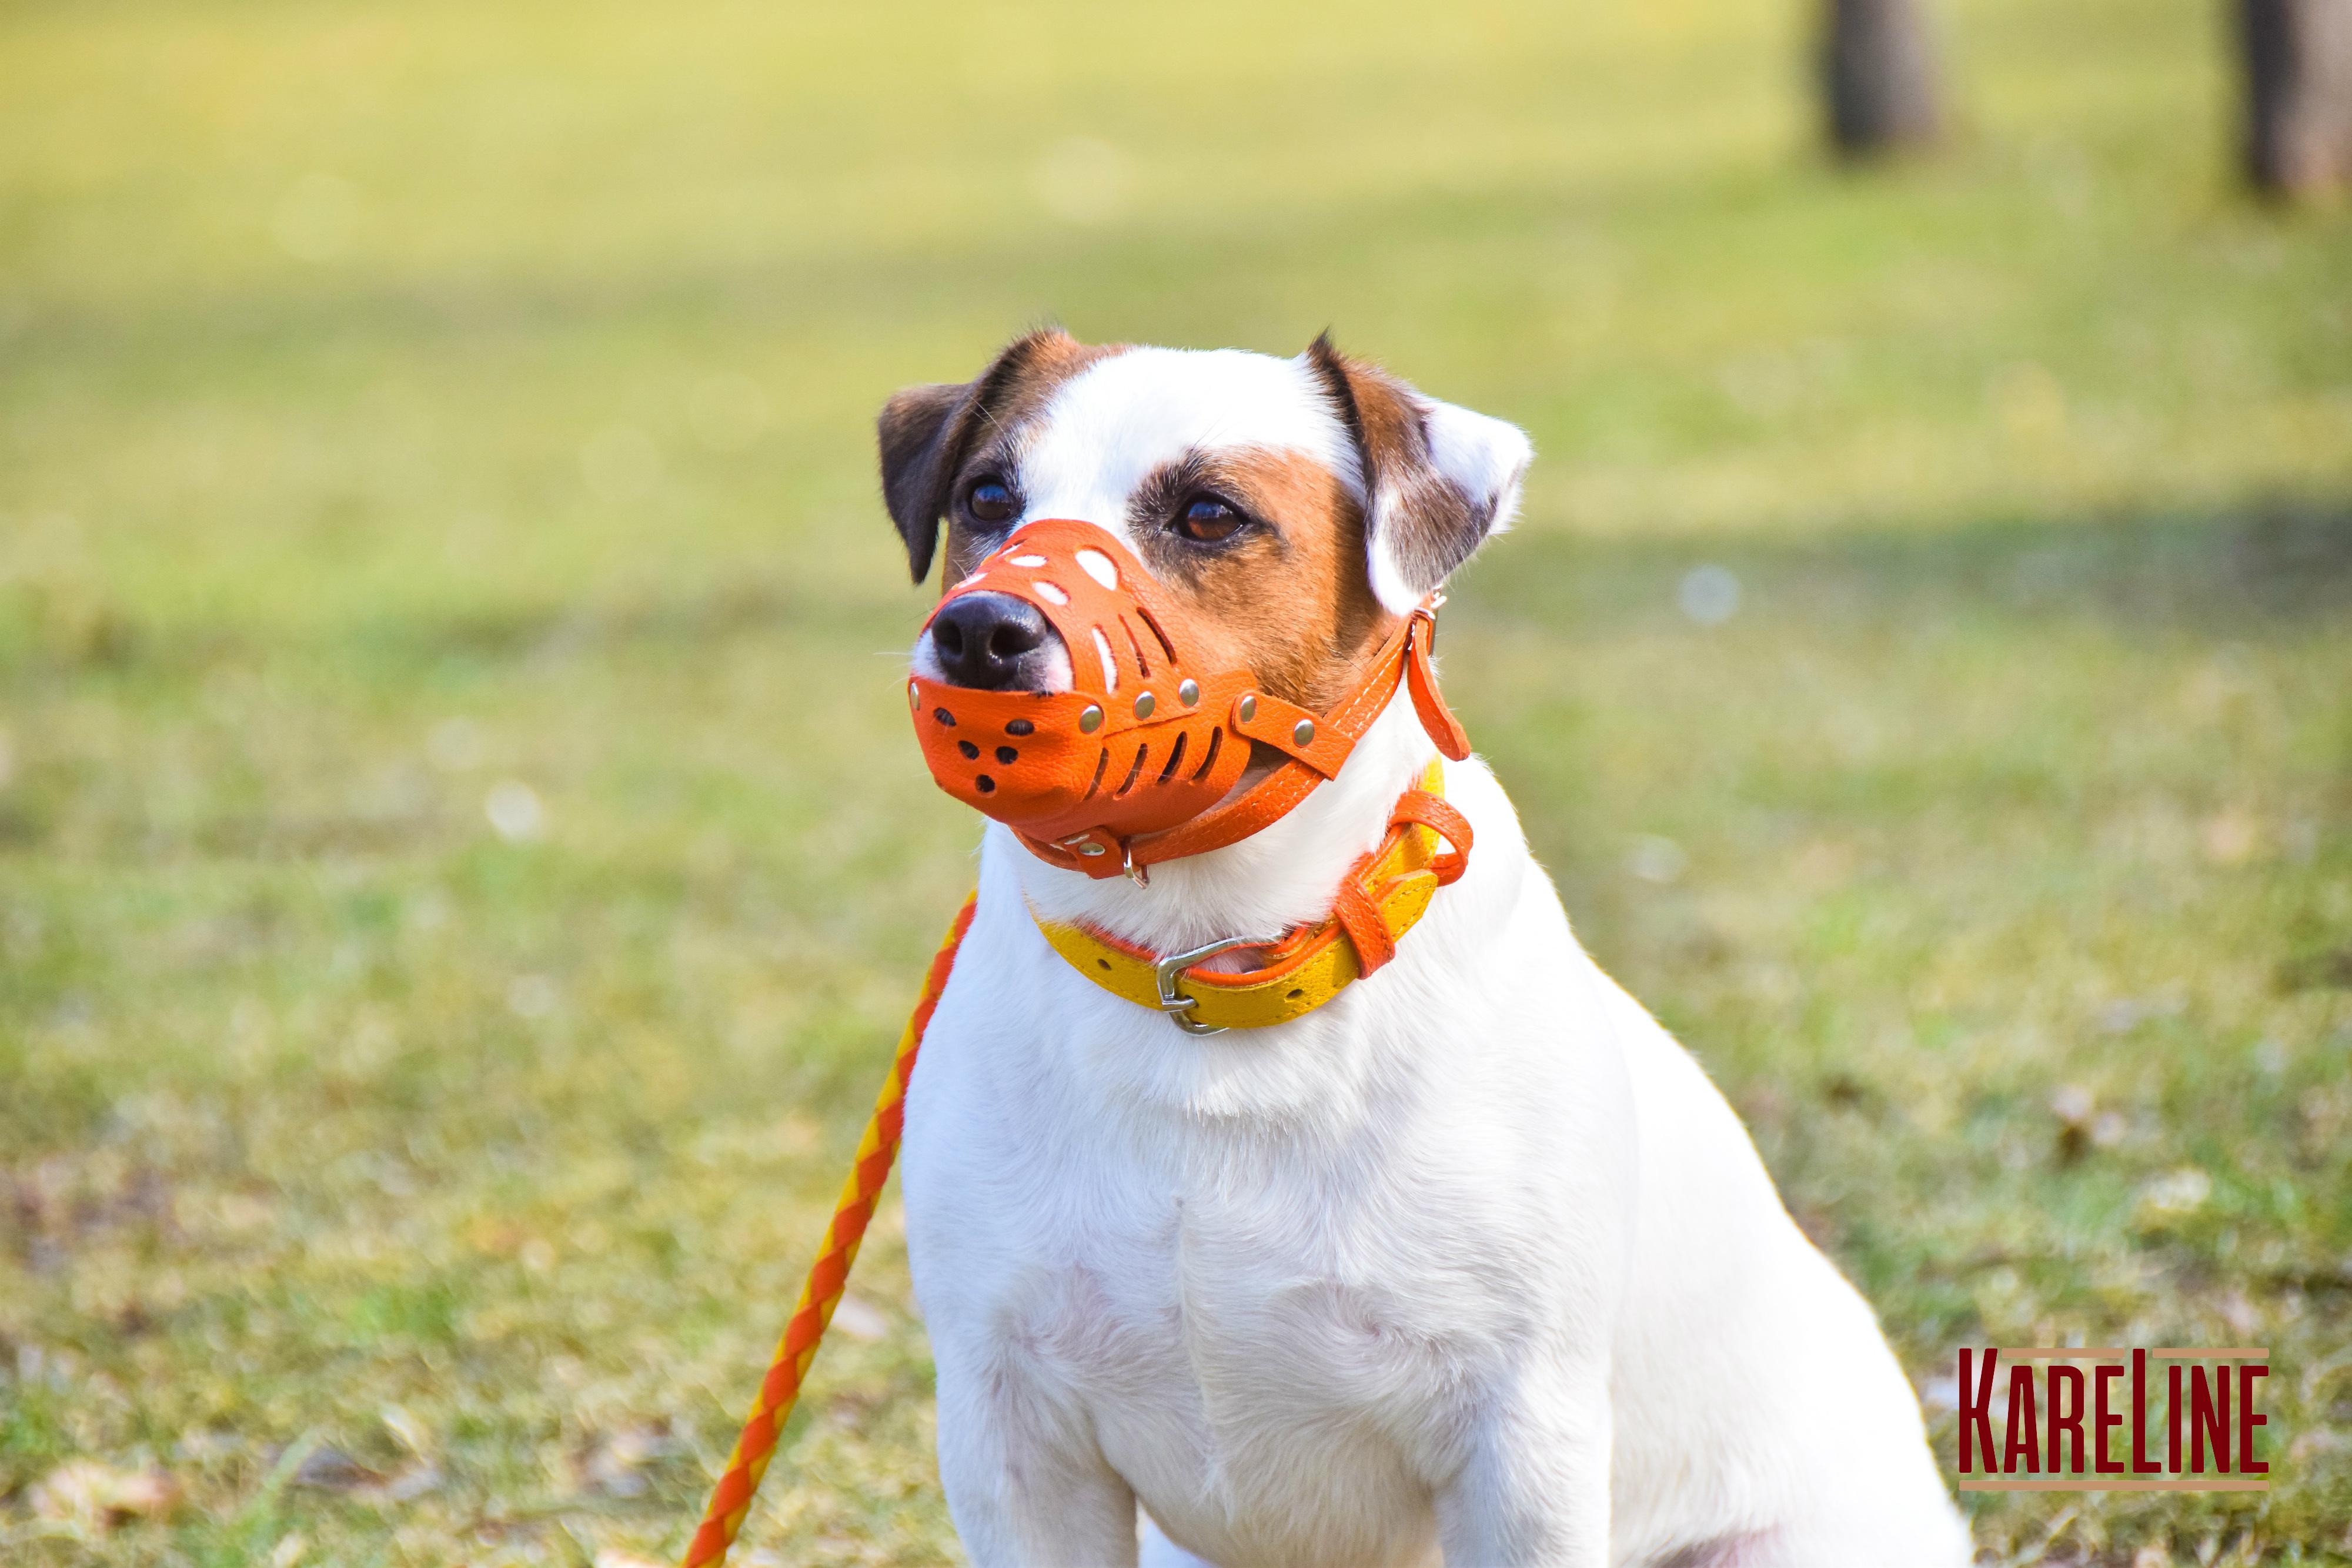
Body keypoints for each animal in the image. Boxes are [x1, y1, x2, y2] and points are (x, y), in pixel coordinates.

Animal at [875, 333, 1957, 1568]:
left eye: (1208, 514)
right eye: (986, 498)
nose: (981, 630)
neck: (1211, 969)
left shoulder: (1520, 1442)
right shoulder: (1013, 1435)